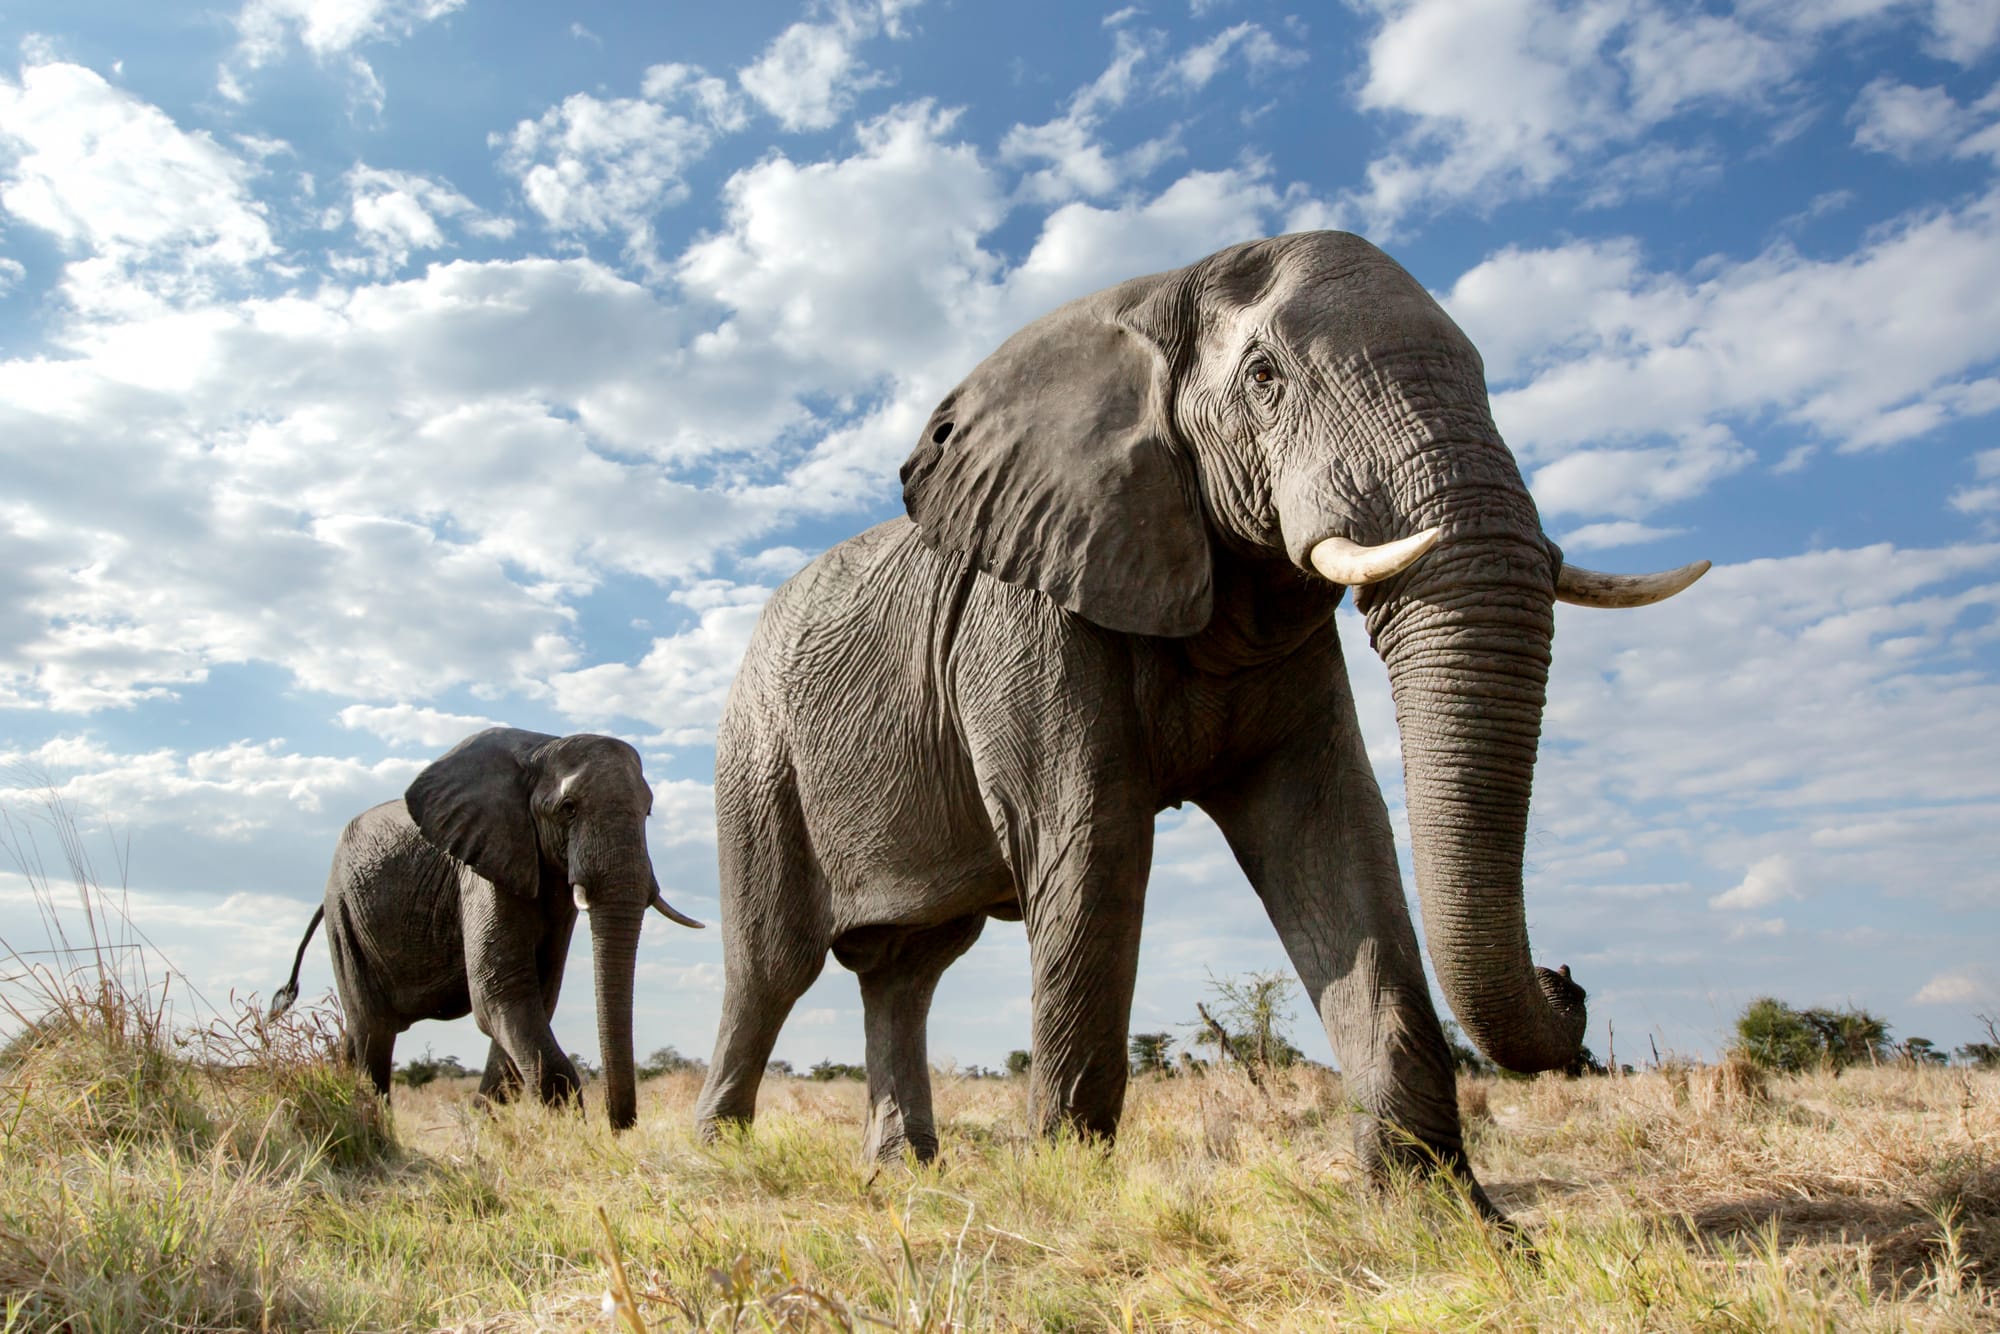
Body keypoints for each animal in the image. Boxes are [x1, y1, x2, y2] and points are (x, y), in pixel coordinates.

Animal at [266, 732, 704, 1128]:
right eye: (568, 808)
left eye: (648, 812)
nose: (619, 1128)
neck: (543, 749)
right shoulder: (481, 865)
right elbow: (500, 991)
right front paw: (568, 1135)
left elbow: (537, 996)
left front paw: (484, 1130)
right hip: (344, 913)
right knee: (372, 1030)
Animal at [692, 232, 1704, 1208]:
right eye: (1265, 379)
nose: (1568, 981)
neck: (1157, 295)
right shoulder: (1030, 614)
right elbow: (1091, 843)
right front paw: (1074, 1197)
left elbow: (1328, 837)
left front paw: (1442, 1216)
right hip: (756, 758)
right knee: (771, 966)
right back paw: (717, 1161)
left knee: (909, 969)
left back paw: (904, 1176)